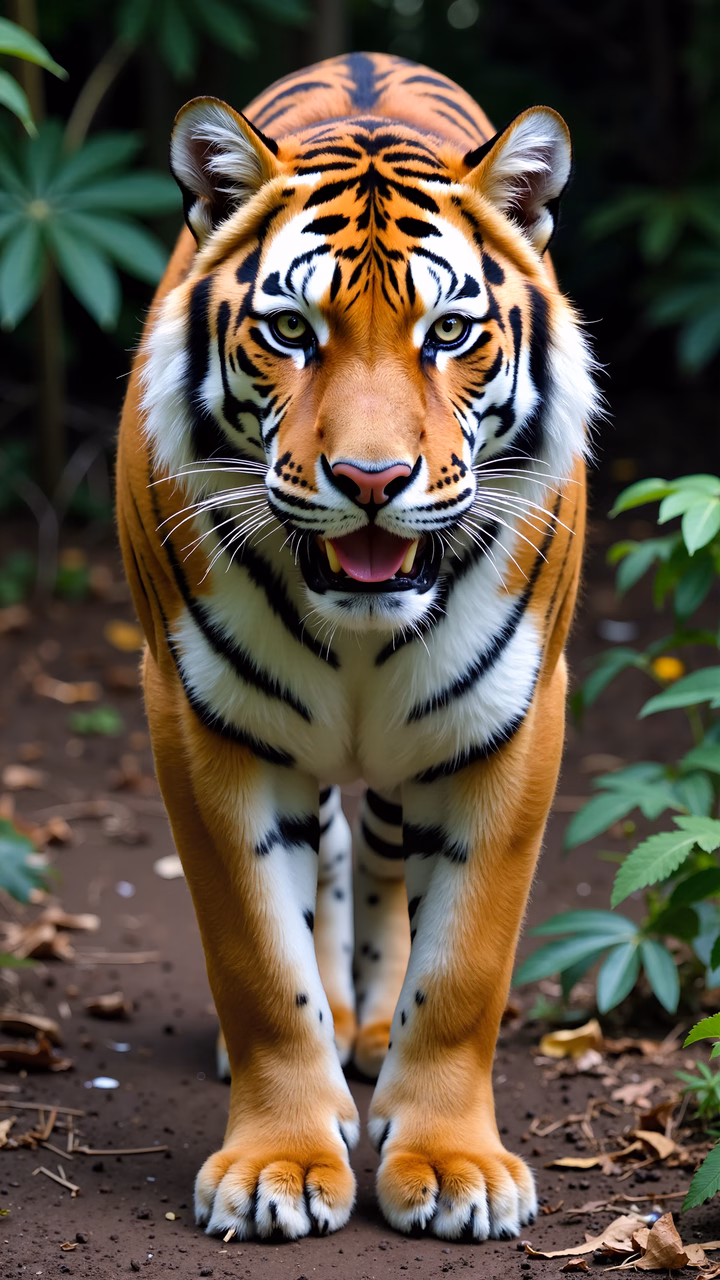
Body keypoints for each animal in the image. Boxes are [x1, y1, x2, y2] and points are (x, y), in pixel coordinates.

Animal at [116, 51, 597, 1244]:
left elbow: (464, 967)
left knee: (377, 862)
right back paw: (337, 1024)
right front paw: (280, 1161)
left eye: (449, 334)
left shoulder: (515, 718)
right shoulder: (200, 720)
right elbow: (256, 954)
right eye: (292, 333)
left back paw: (371, 1026)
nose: (373, 480)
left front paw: (453, 1163)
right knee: (327, 858)